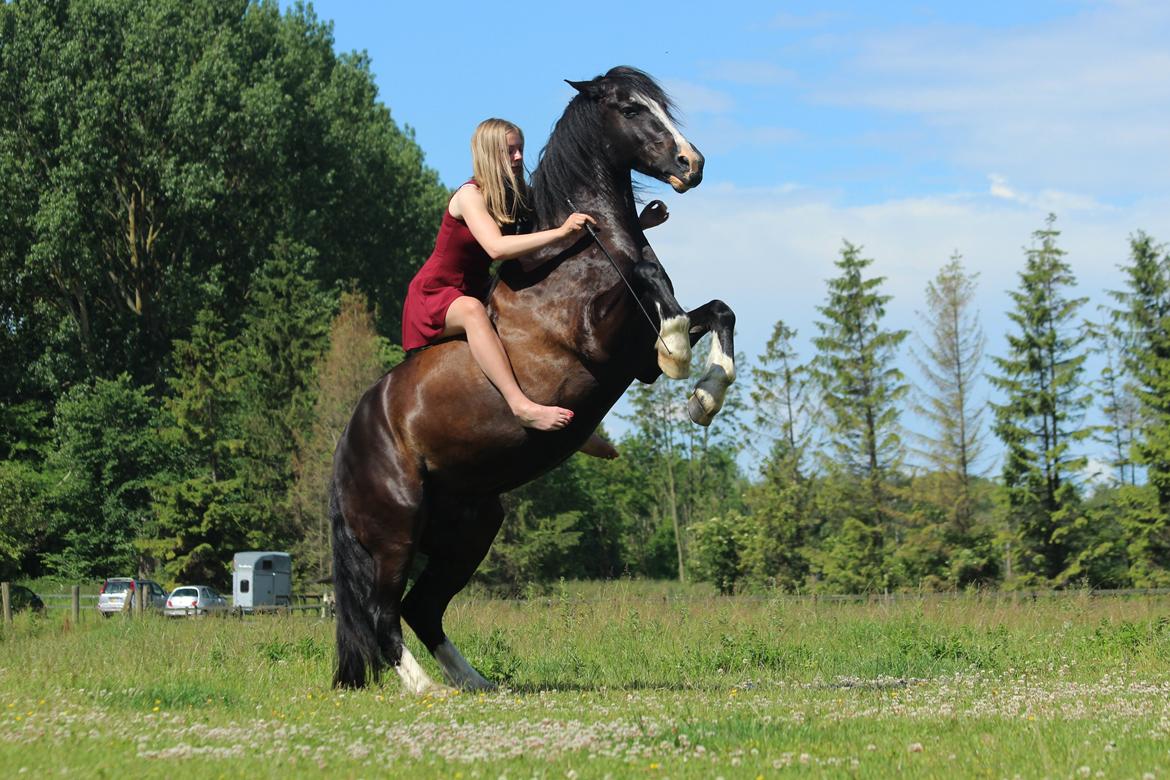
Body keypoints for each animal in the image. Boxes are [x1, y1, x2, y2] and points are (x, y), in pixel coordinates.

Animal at [329, 65, 734, 687]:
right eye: (631, 109)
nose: (693, 164)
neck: (579, 254)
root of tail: (348, 444)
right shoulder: (602, 340)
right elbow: (652, 282)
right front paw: (678, 354)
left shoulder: (634, 360)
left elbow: (718, 311)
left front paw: (704, 397)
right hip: (395, 532)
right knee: (382, 612)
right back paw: (426, 689)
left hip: (471, 526)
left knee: (423, 608)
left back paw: (476, 685)